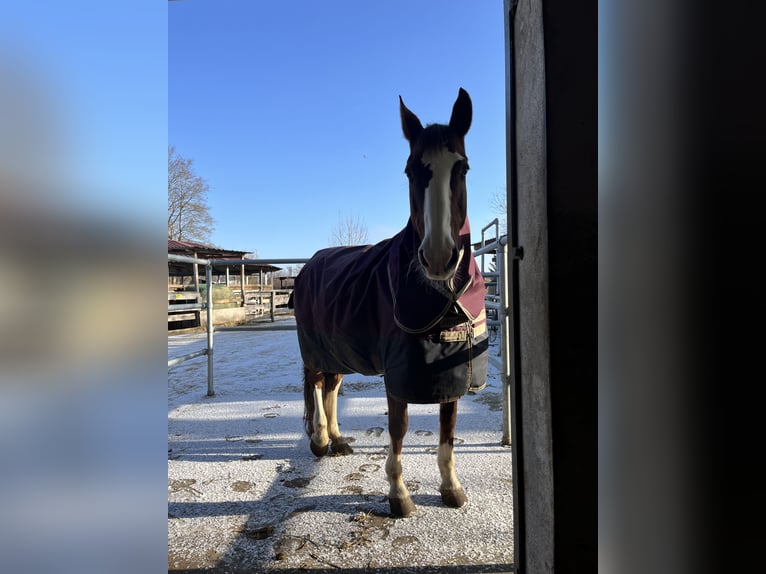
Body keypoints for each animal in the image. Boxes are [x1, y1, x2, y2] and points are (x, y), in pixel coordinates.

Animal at [289, 88, 488, 518]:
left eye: (462, 168)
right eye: (411, 171)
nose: (438, 257)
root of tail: (309, 264)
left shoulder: (452, 373)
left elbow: (448, 432)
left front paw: (451, 489)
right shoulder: (398, 373)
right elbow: (398, 429)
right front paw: (399, 496)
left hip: (339, 349)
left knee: (332, 386)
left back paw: (338, 440)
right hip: (314, 348)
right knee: (317, 383)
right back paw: (319, 441)